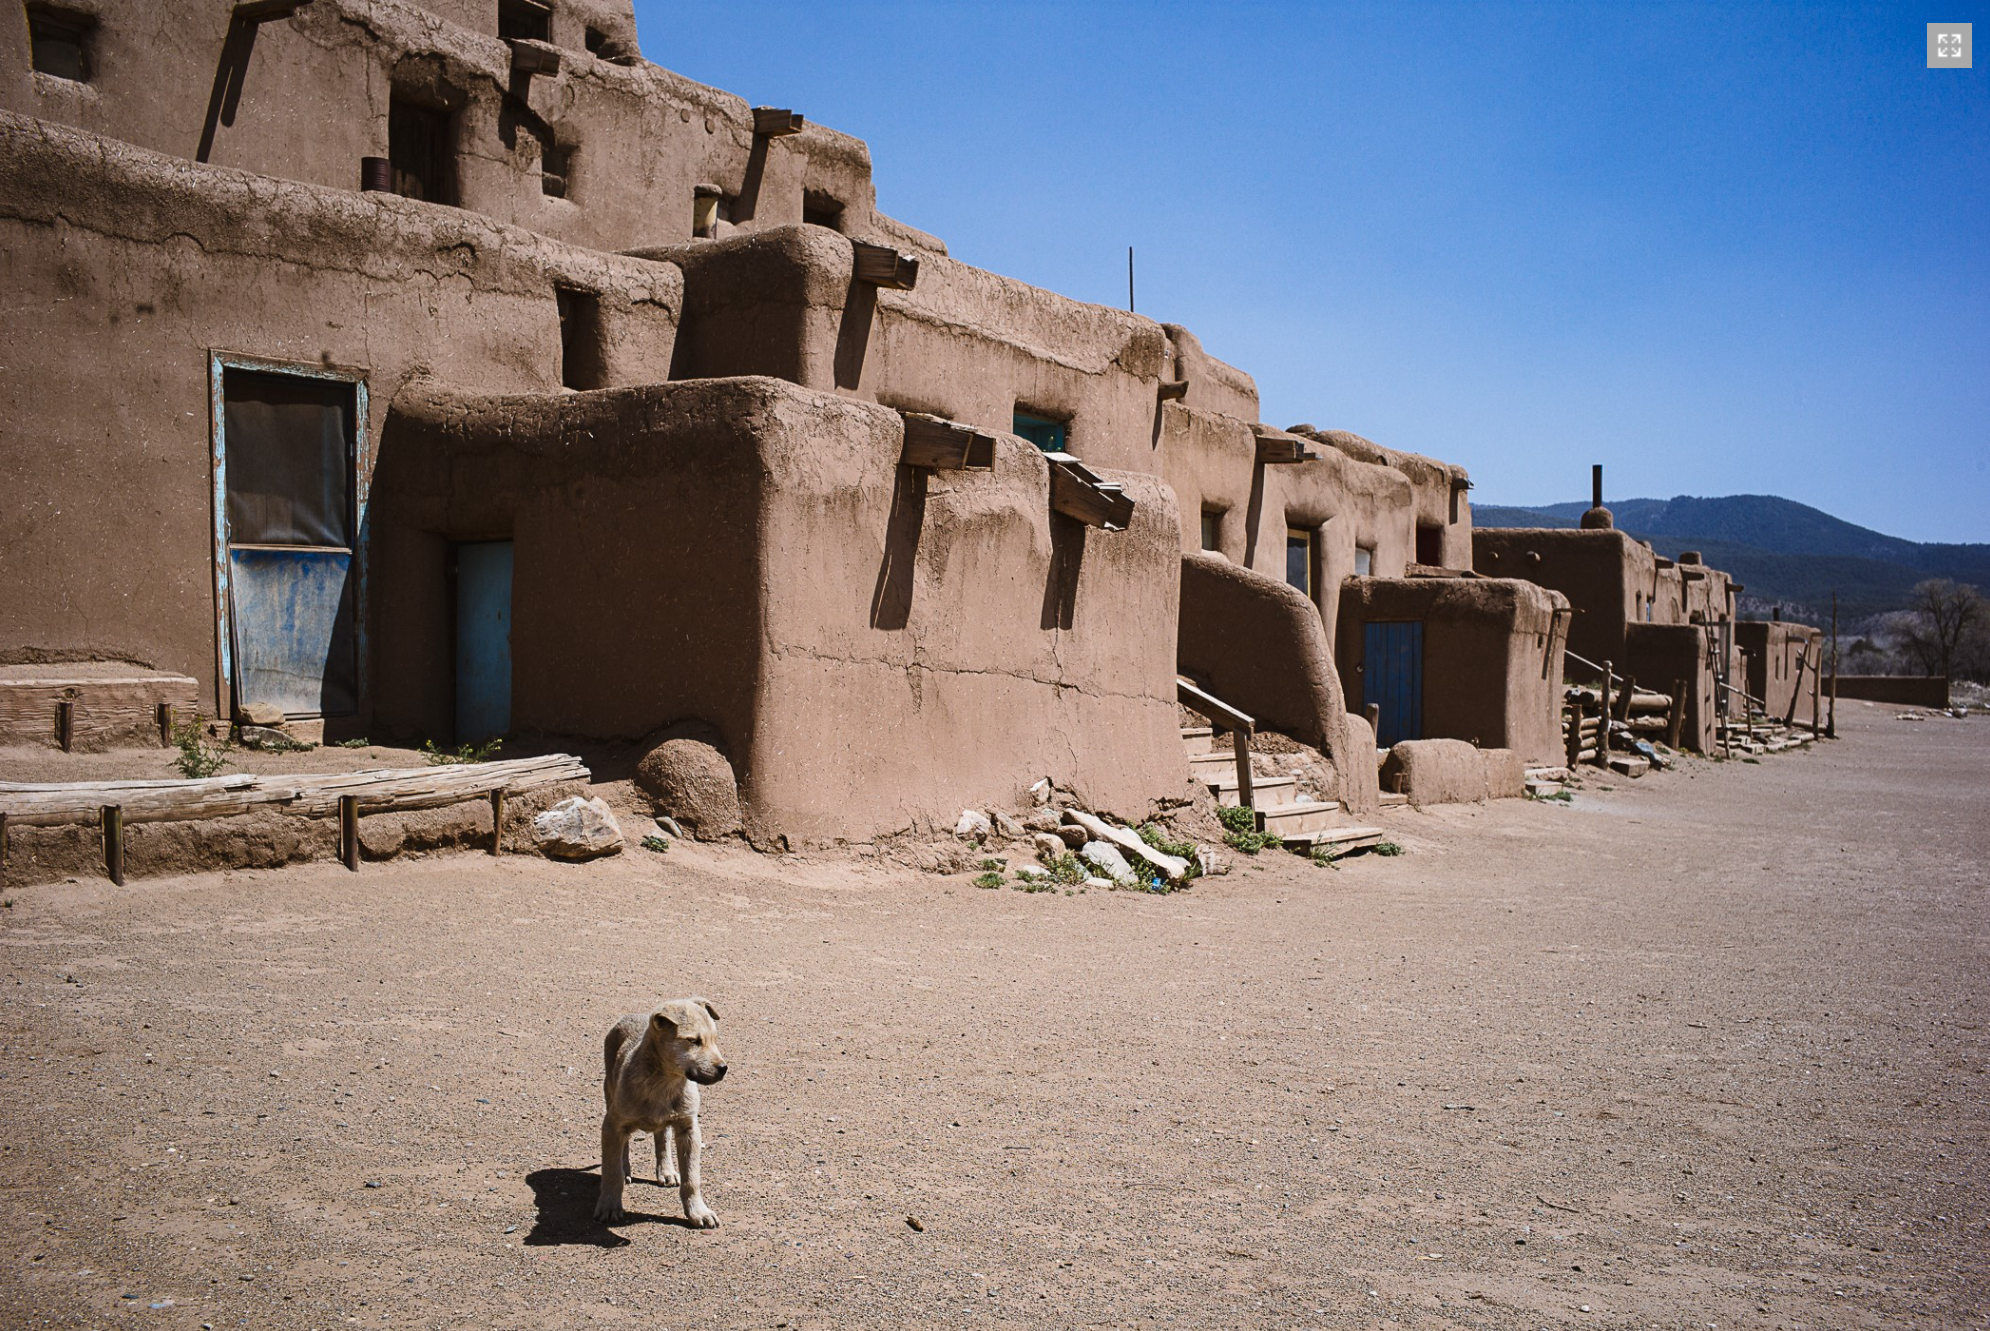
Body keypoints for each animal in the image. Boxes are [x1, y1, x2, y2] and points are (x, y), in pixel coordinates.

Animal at [593, 994, 728, 1225]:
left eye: (714, 1038)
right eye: (693, 1041)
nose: (723, 1068)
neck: (664, 1083)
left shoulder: (689, 1129)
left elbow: (692, 1177)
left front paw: (698, 1212)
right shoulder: (612, 1126)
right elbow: (612, 1171)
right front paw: (609, 1205)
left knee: (662, 1138)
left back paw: (667, 1171)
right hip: (609, 1094)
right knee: (626, 1145)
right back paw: (626, 1168)